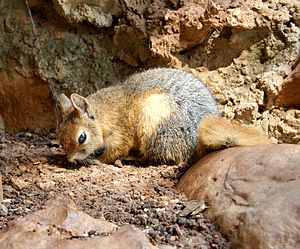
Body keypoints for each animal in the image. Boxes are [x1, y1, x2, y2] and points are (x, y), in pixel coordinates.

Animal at [56, 68, 272, 164]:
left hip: (154, 121)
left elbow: (115, 151)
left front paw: (99, 160)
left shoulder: (120, 134)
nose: (70, 160)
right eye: (59, 135)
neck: (103, 115)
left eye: (82, 137)